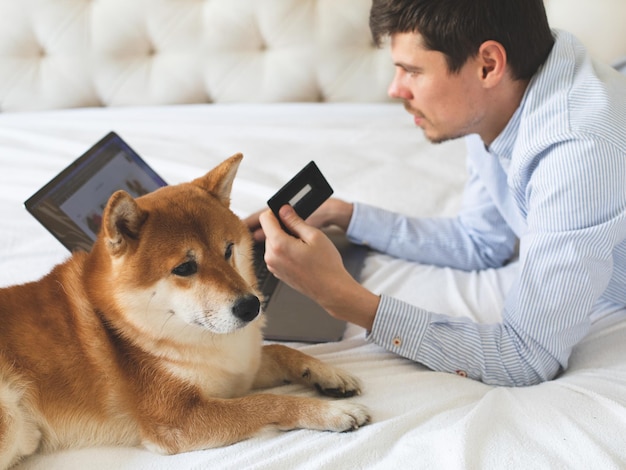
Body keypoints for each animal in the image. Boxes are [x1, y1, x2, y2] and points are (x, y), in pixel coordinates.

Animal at [0, 153, 368, 466]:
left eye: (228, 250)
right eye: (185, 268)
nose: (252, 306)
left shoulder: (236, 373)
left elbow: (279, 350)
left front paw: (328, 374)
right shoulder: (179, 418)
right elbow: (267, 403)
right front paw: (329, 412)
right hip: (10, 420)